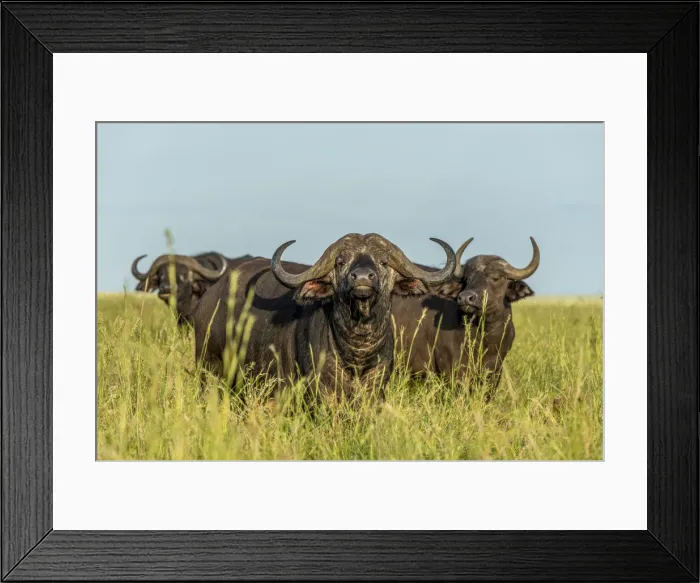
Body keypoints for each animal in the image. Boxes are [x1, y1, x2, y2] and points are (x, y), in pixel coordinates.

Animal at [193, 234, 456, 400]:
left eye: (383, 262)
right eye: (340, 262)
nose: (362, 277)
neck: (357, 350)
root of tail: (209, 298)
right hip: (210, 371)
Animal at [391, 237, 539, 392]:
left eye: (496, 278)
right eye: (467, 279)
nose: (465, 298)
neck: (486, 339)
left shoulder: (494, 372)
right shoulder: (454, 372)